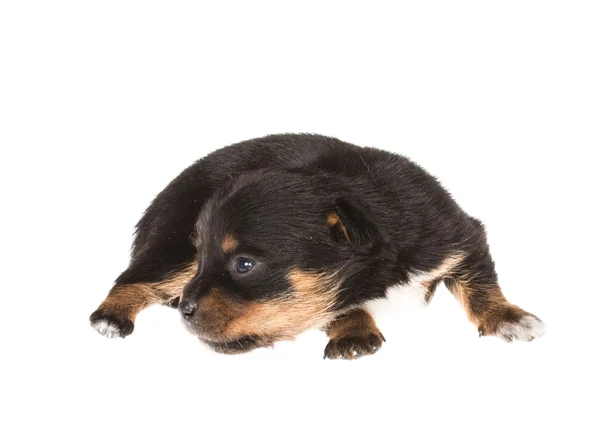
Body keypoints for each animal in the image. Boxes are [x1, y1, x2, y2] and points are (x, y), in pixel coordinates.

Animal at [89, 134, 544, 358]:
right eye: (206, 256)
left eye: (244, 265)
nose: (185, 309)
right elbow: (341, 304)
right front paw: (353, 332)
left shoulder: (459, 236)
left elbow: (481, 284)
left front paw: (509, 318)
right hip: (173, 246)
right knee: (133, 276)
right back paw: (110, 317)